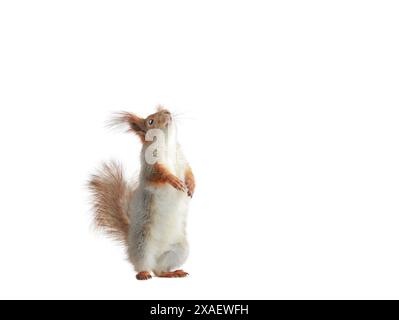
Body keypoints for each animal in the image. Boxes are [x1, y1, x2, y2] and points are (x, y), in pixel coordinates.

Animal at [89, 105, 195, 280]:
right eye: (150, 121)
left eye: (164, 110)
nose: (167, 112)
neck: (167, 144)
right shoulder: (150, 166)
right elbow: (159, 174)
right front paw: (173, 180)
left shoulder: (182, 159)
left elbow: (189, 172)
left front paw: (192, 186)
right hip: (142, 244)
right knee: (142, 264)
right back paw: (144, 273)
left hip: (179, 249)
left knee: (159, 271)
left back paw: (171, 272)